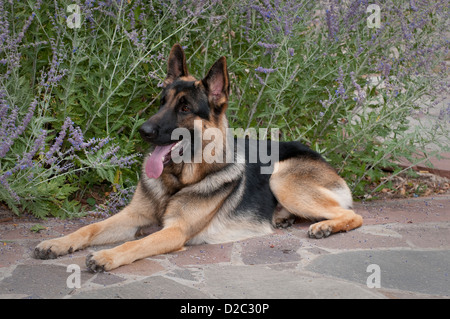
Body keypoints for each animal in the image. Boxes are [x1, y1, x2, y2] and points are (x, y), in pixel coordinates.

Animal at [37, 43, 364, 272]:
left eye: (184, 108)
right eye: (161, 102)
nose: (142, 131)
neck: (178, 180)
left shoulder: (175, 231)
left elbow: (138, 243)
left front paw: (107, 255)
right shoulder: (133, 215)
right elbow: (90, 227)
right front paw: (57, 243)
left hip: (281, 177)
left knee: (353, 214)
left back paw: (323, 226)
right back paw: (284, 218)